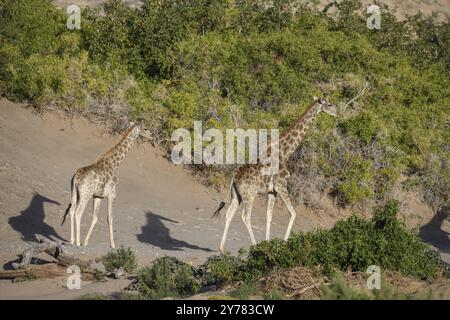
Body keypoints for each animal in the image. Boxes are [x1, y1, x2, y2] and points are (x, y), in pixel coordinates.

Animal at [61, 120, 149, 248]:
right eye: (146, 128)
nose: (150, 136)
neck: (114, 164)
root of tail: (76, 178)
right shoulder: (112, 195)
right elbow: (110, 218)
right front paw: (113, 245)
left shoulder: (98, 196)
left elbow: (95, 217)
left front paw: (85, 242)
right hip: (85, 195)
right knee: (78, 212)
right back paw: (77, 242)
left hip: (74, 192)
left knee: (72, 210)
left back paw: (72, 241)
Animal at [214, 97, 338, 252]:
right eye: (329, 104)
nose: (337, 113)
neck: (285, 151)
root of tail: (234, 177)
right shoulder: (281, 185)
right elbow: (293, 213)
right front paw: (284, 244)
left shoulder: (272, 191)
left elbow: (269, 216)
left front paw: (268, 243)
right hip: (250, 194)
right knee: (245, 216)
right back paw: (254, 245)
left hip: (236, 194)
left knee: (229, 213)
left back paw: (222, 248)